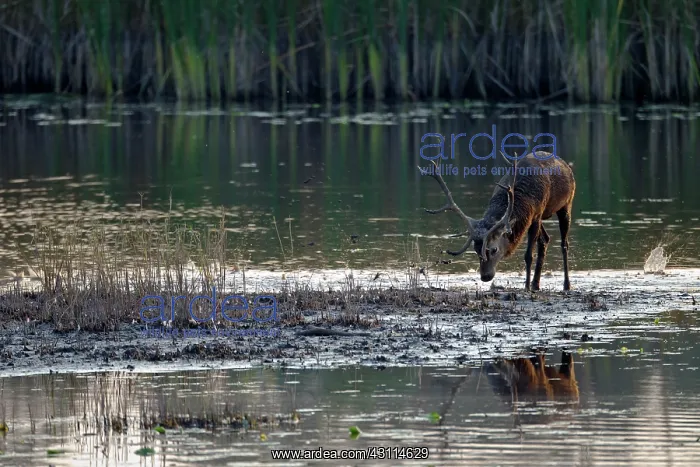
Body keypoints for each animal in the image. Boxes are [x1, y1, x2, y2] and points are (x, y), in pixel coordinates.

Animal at [421, 151, 575, 291]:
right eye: (476, 249)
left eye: (494, 249)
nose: (485, 276)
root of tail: (564, 164)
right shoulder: (530, 217)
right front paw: (529, 285)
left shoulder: (536, 215)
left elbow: (528, 255)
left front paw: (525, 287)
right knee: (545, 239)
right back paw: (535, 284)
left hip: (566, 204)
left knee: (564, 244)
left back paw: (566, 285)